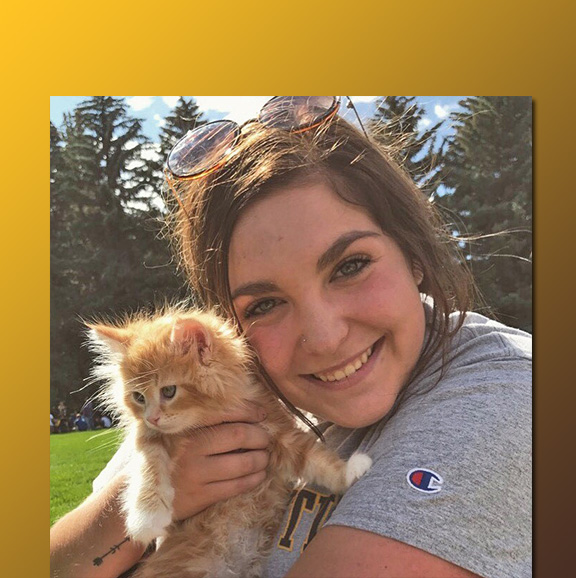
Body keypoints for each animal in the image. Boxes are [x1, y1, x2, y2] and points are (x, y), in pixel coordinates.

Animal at [88, 306, 372, 576]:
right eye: (138, 397)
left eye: (168, 391)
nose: (152, 417)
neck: (211, 415)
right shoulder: (148, 438)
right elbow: (149, 467)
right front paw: (147, 518)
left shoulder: (277, 431)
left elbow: (316, 459)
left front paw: (350, 471)